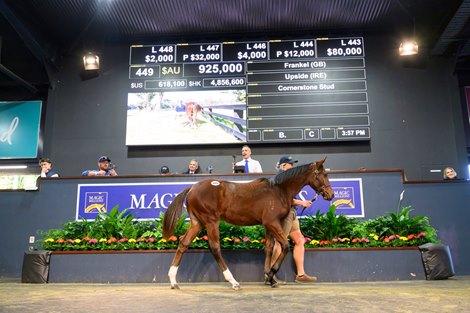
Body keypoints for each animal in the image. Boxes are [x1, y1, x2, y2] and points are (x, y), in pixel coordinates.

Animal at [162, 157, 334, 288]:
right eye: (324, 174)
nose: (330, 195)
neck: (278, 190)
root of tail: (192, 188)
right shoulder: (272, 223)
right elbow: (285, 246)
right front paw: (271, 274)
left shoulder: (268, 225)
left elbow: (269, 248)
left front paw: (269, 279)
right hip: (211, 221)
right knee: (215, 247)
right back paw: (233, 282)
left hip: (197, 222)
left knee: (183, 243)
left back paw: (173, 281)